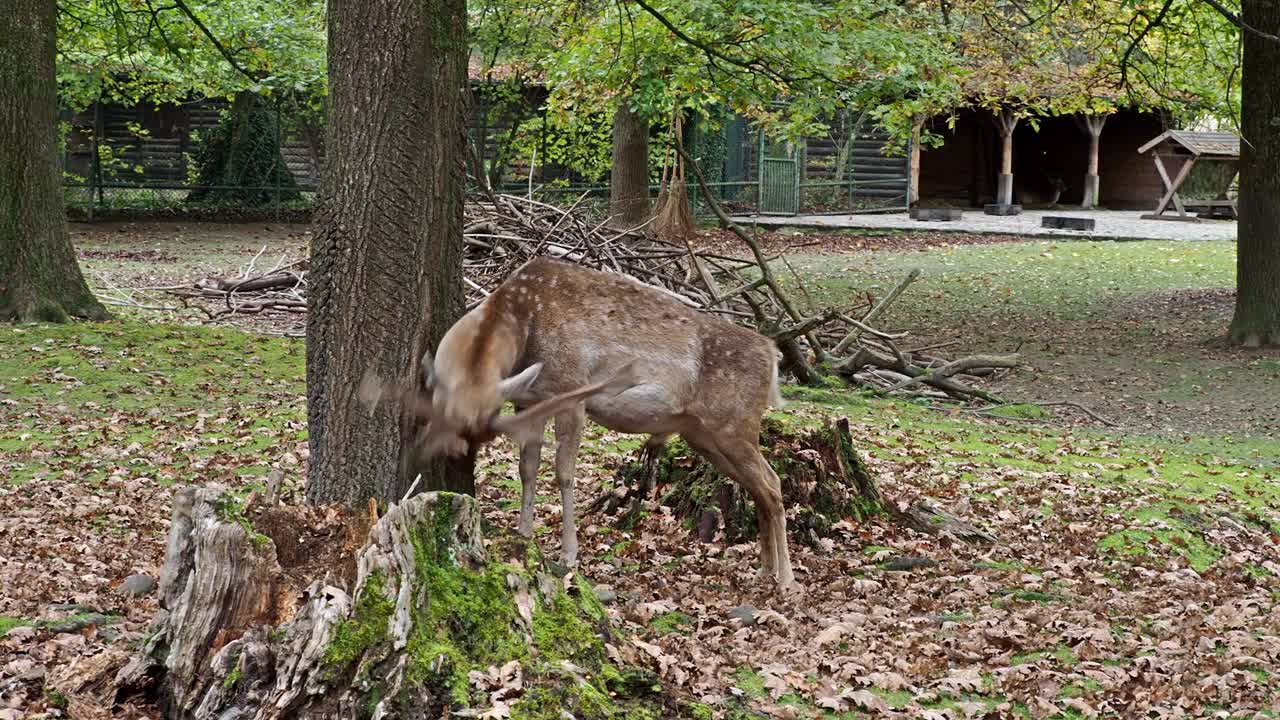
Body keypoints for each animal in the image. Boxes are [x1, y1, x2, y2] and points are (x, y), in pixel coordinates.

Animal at [376, 254, 788, 586]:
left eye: (488, 418)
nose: (461, 455)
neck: (525, 326)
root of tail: (773, 355)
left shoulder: (572, 393)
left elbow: (563, 472)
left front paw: (568, 554)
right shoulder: (528, 403)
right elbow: (527, 468)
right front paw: (524, 534)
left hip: (736, 425)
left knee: (772, 482)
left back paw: (784, 579)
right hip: (703, 435)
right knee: (758, 487)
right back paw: (765, 570)